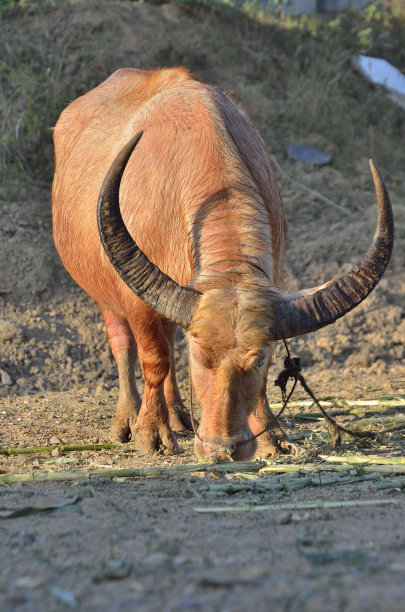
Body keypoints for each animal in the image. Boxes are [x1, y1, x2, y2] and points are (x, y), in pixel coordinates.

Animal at [52, 67, 392, 460]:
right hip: (104, 294)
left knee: (169, 340)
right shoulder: (137, 303)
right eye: (200, 356)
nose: (222, 448)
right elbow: (154, 360)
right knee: (123, 345)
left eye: (258, 360)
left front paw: (270, 436)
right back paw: (128, 419)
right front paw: (152, 432)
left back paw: (180, 415)